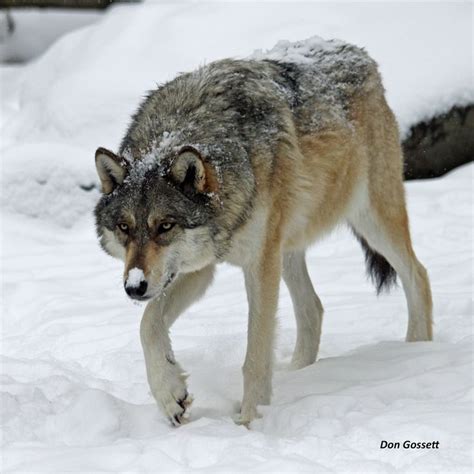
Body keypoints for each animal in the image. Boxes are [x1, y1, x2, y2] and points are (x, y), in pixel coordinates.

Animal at [93, 36, 434, 426]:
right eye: (125, 228)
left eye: (165, 226)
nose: (134, 287)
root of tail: (356, 51)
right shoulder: (201, 267)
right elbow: (148, 324)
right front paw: (170, 395)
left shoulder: (257, 265)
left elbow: (255, 357)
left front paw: (249, 423)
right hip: (287, 248)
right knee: (313, 309)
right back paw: (300, 374)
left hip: (369, 219)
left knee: (418, 274)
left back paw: (417, 352)